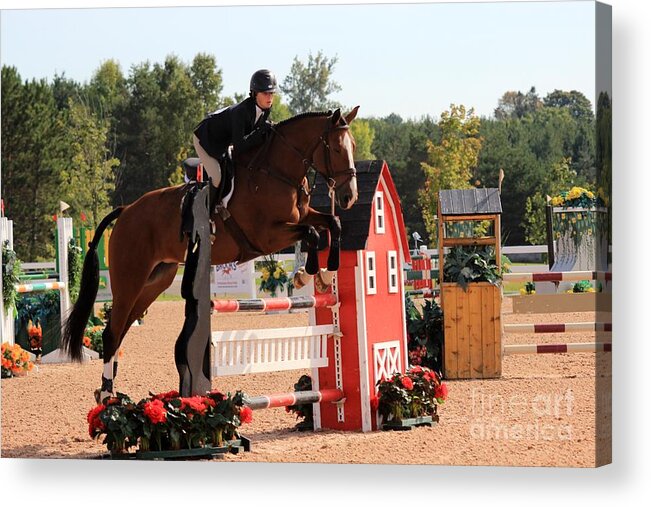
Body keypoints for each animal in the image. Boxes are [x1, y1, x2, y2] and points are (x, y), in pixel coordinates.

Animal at [61, 106, 362, 400]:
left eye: (354, 146)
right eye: (337, 149)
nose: (350, 197)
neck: (276, 172)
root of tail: (126, 211)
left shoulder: (303, 216)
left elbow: (331, 223)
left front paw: (326, 273)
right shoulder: (267, 236)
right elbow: (311, 234)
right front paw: (307, 273)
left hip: (155, 281)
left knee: (122, 328)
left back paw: (108, 388)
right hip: (130, 278)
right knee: (112, 332)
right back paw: (106, 393)